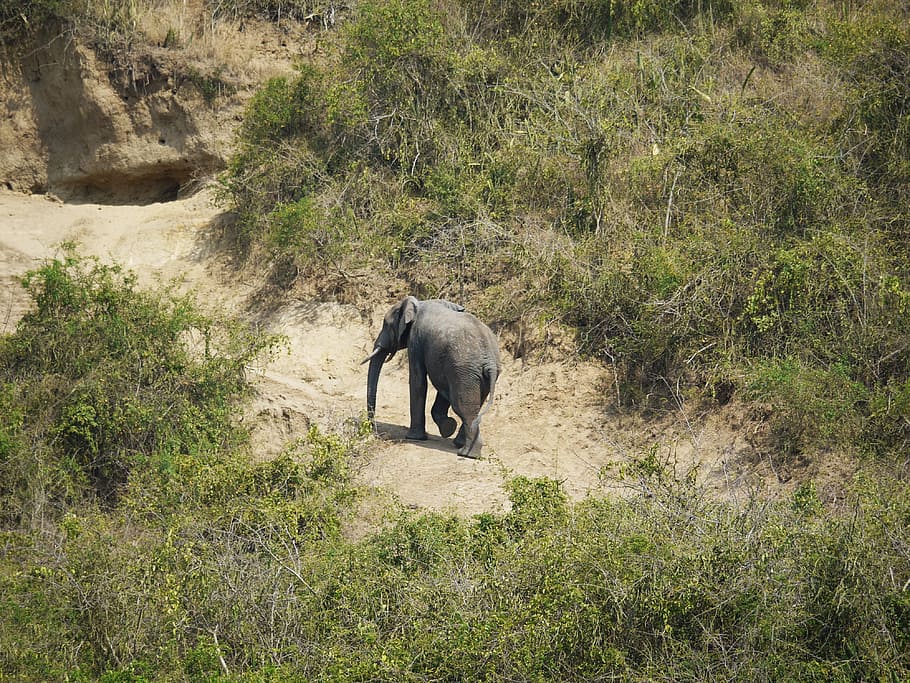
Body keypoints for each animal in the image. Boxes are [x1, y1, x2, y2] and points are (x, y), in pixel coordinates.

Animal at [363, 296, 500, 458]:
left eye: (386, 324)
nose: (371, 427)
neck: (419, 303)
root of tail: (490, 359)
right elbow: (441, 388)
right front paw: (447, 428)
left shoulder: (415, 340)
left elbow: (418, 381)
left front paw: (414, 437)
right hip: (475, 374)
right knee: (472, 404)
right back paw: (460, 445)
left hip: (465, 370)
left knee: (462, 406)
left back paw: (466, 453)